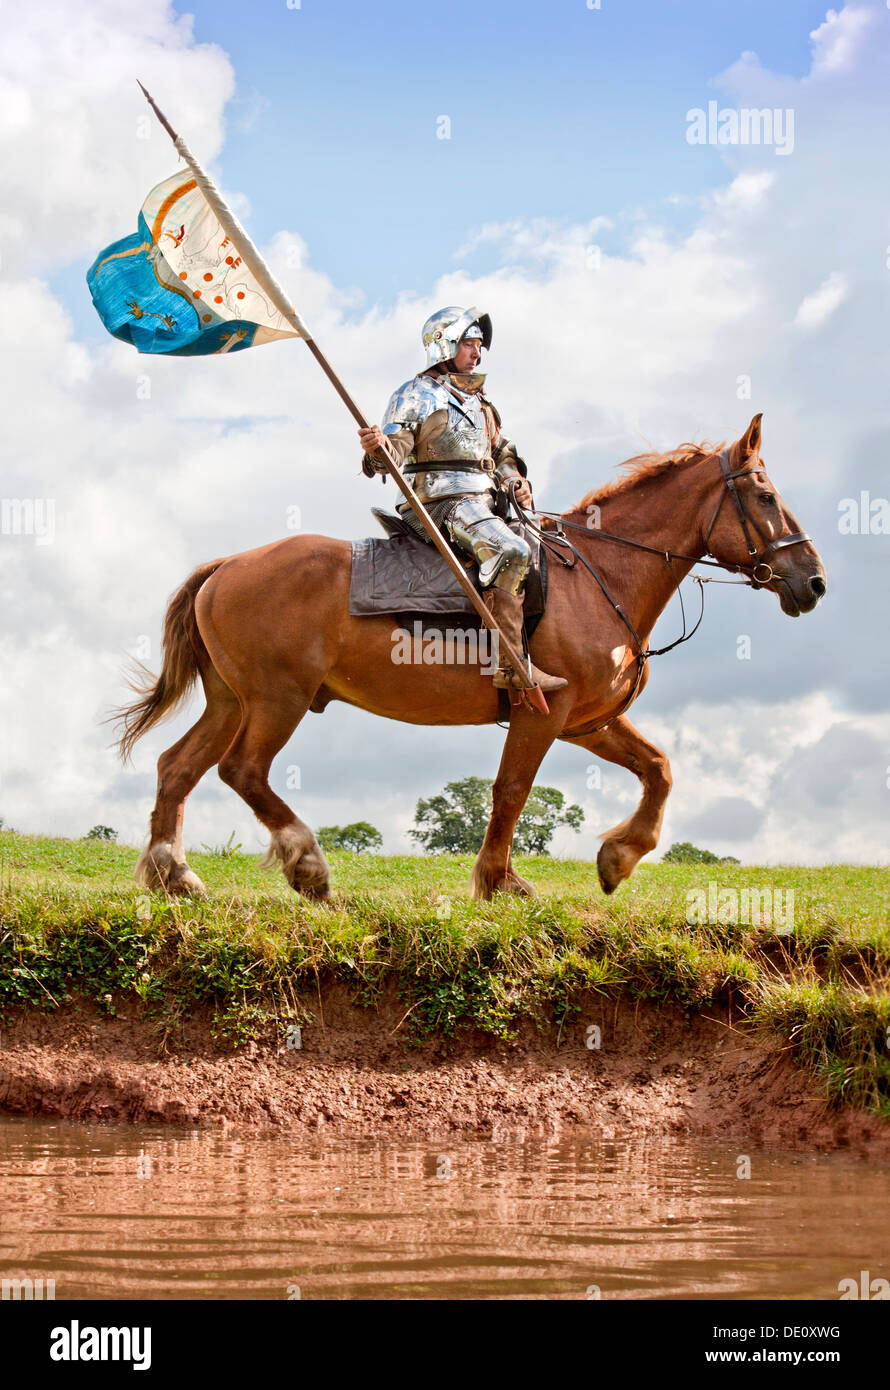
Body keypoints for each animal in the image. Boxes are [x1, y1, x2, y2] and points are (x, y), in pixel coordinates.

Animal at [114, 411, 823, 900]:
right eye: (765, 497)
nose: (813, 580)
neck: (601, 576)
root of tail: (227, 565)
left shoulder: (586, 722)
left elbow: (659, 768)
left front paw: (618, 858)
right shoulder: (543, 712)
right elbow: (510, 791)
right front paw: (498, 881)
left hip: (232, 701)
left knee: (178, 767)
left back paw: (176, 875)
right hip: (275, 700)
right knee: (242, 771)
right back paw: (307, 866)